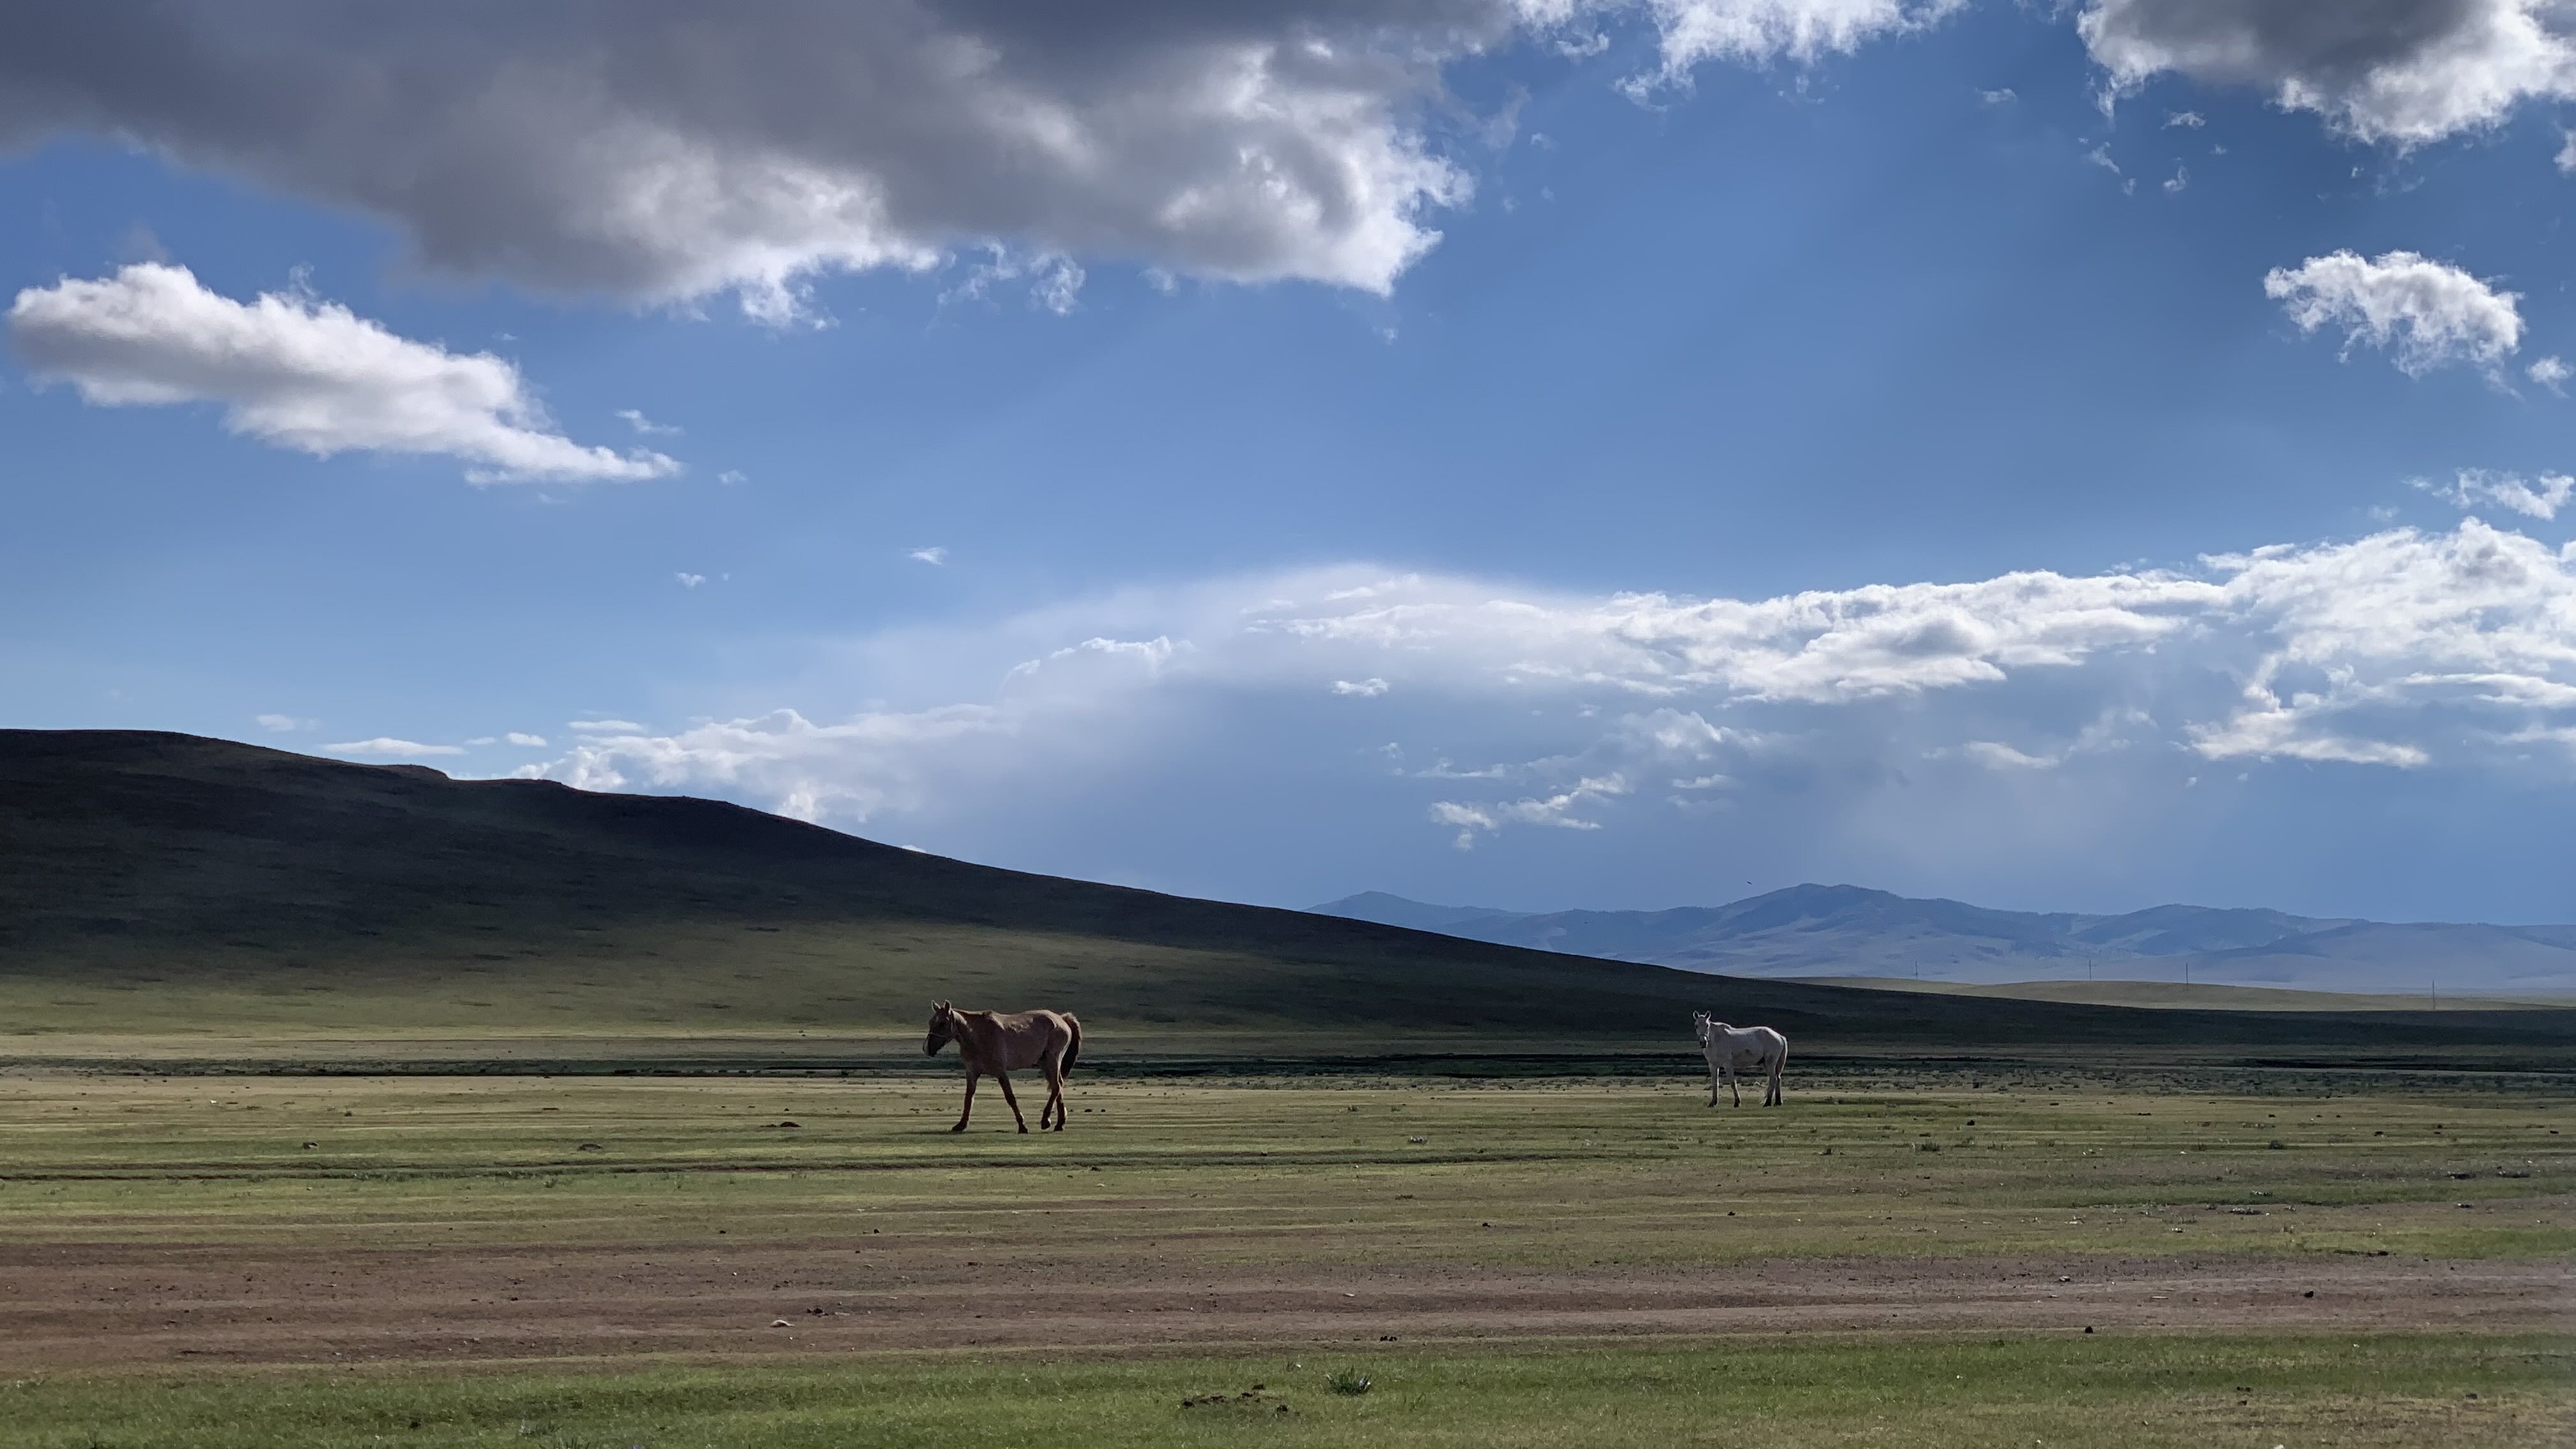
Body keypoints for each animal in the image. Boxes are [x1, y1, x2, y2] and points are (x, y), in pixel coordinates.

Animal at [923, 1000, 1083, 1133]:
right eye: (930, 1022)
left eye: (942, 1023)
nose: (927, 1049)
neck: (979, 1036)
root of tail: (1062, 1019)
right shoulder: (972, 1072)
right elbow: (969, 1098)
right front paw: (961, 1125)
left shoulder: (1000, 1072)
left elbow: (1010, 1097)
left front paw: (1022, 1126)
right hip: (1044, 1063)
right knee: (1058, 1085)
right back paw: (1060, 1124)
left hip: (1052, 1060)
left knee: (1056, 1086)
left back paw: (1046, 1121)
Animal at [1691, 1011, 1787, 1107]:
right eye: (1696, 1025)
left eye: (1707, 1025)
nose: (1703, 1042)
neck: (1716, 1040)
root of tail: (1779, 1036)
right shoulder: (1713, 1065)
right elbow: (1715, 1083)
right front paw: (1713, 1103)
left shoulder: (1728, 1065)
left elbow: (1733, 1083)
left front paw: (1737, 1102)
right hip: (1769, 1064)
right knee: (1778, 1079)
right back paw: (1778, 1102)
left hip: (1770, 1063)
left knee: (1773, 1080)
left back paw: (1768, 1103)